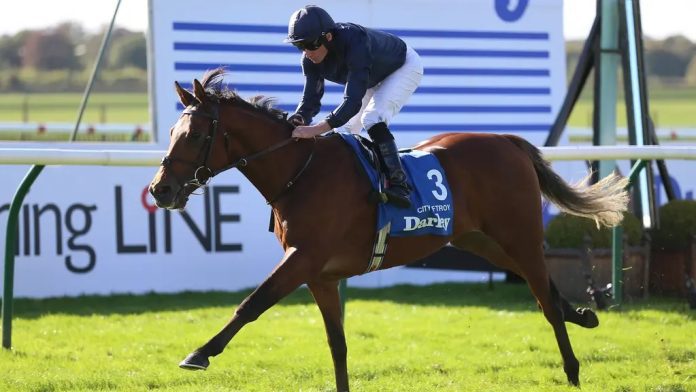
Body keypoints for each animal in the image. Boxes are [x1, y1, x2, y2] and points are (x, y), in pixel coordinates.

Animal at [150, 69, 628, 390]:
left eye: (195, 135)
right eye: (172, 131)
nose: (160, 189)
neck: (301, 172)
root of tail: (507, 141)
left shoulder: (303, 257)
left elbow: (252, 303)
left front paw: (199, 354)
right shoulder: (321, 275)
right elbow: (337, 343)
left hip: (519, 234)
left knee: (545, 300)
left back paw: (573, 370)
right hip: (482, 240)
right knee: (546, 288)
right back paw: (583, 314)